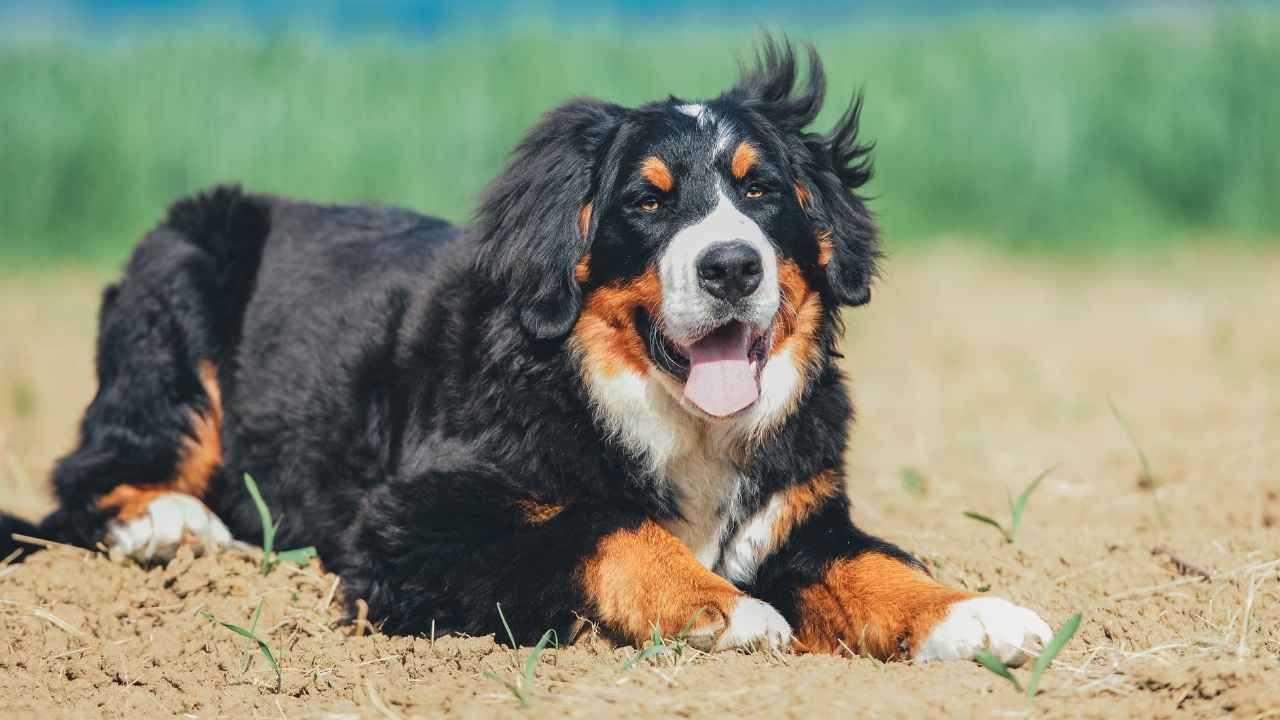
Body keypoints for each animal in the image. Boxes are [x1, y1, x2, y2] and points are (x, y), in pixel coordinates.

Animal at [2, 40, 1049, 661]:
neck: (663, 414)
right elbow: (600, 526)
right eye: (646, 201)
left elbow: (874, 565)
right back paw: (171, 526)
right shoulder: (412, 522)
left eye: (762, 192)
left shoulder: (801, 516)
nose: (731, 267)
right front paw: (725, 608)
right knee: (90, 474)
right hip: (180, 277)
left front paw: (976, 613)